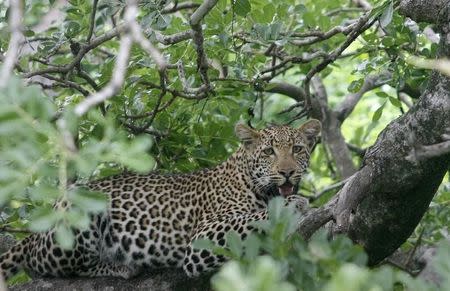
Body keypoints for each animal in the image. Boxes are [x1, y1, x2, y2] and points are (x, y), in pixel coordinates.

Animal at [1, 120, 322, 282]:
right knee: (51, 264)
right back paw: (121, 266)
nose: (287, 172)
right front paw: (296, 205)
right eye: (269, 152)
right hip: (77, 217)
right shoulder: (202, 240)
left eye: (297, 149)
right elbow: (253, 219)